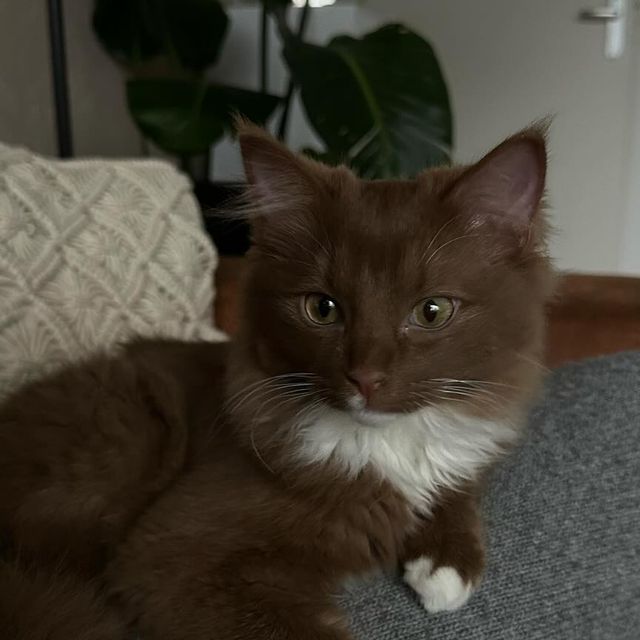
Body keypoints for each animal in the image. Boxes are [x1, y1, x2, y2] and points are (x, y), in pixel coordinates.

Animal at [0, 122, 552, 636]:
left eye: (432, 311)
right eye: (322, 308)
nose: (365, 377)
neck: (384, 446)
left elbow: (458, 483)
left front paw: (444, 566)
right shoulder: (176, 554)